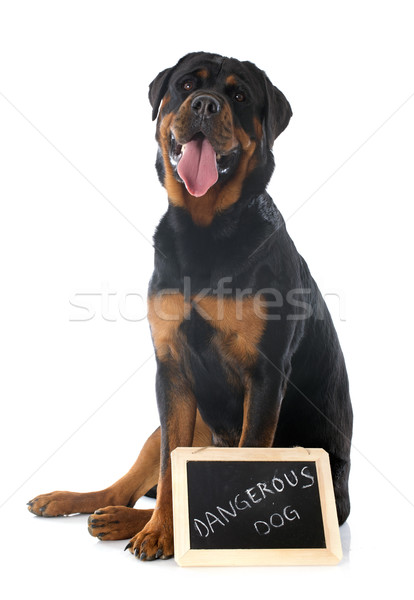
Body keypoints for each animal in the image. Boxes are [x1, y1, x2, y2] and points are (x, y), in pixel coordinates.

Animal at [28, 52, 352, 564]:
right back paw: (81, 504)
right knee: (127, 486)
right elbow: (167, 472)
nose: (204, 104)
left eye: (239, 95)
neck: (206, 231)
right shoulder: (171, 371)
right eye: (185, 85)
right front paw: (161, 532)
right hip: (165, 427)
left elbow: (246, 462)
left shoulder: (265, 377)